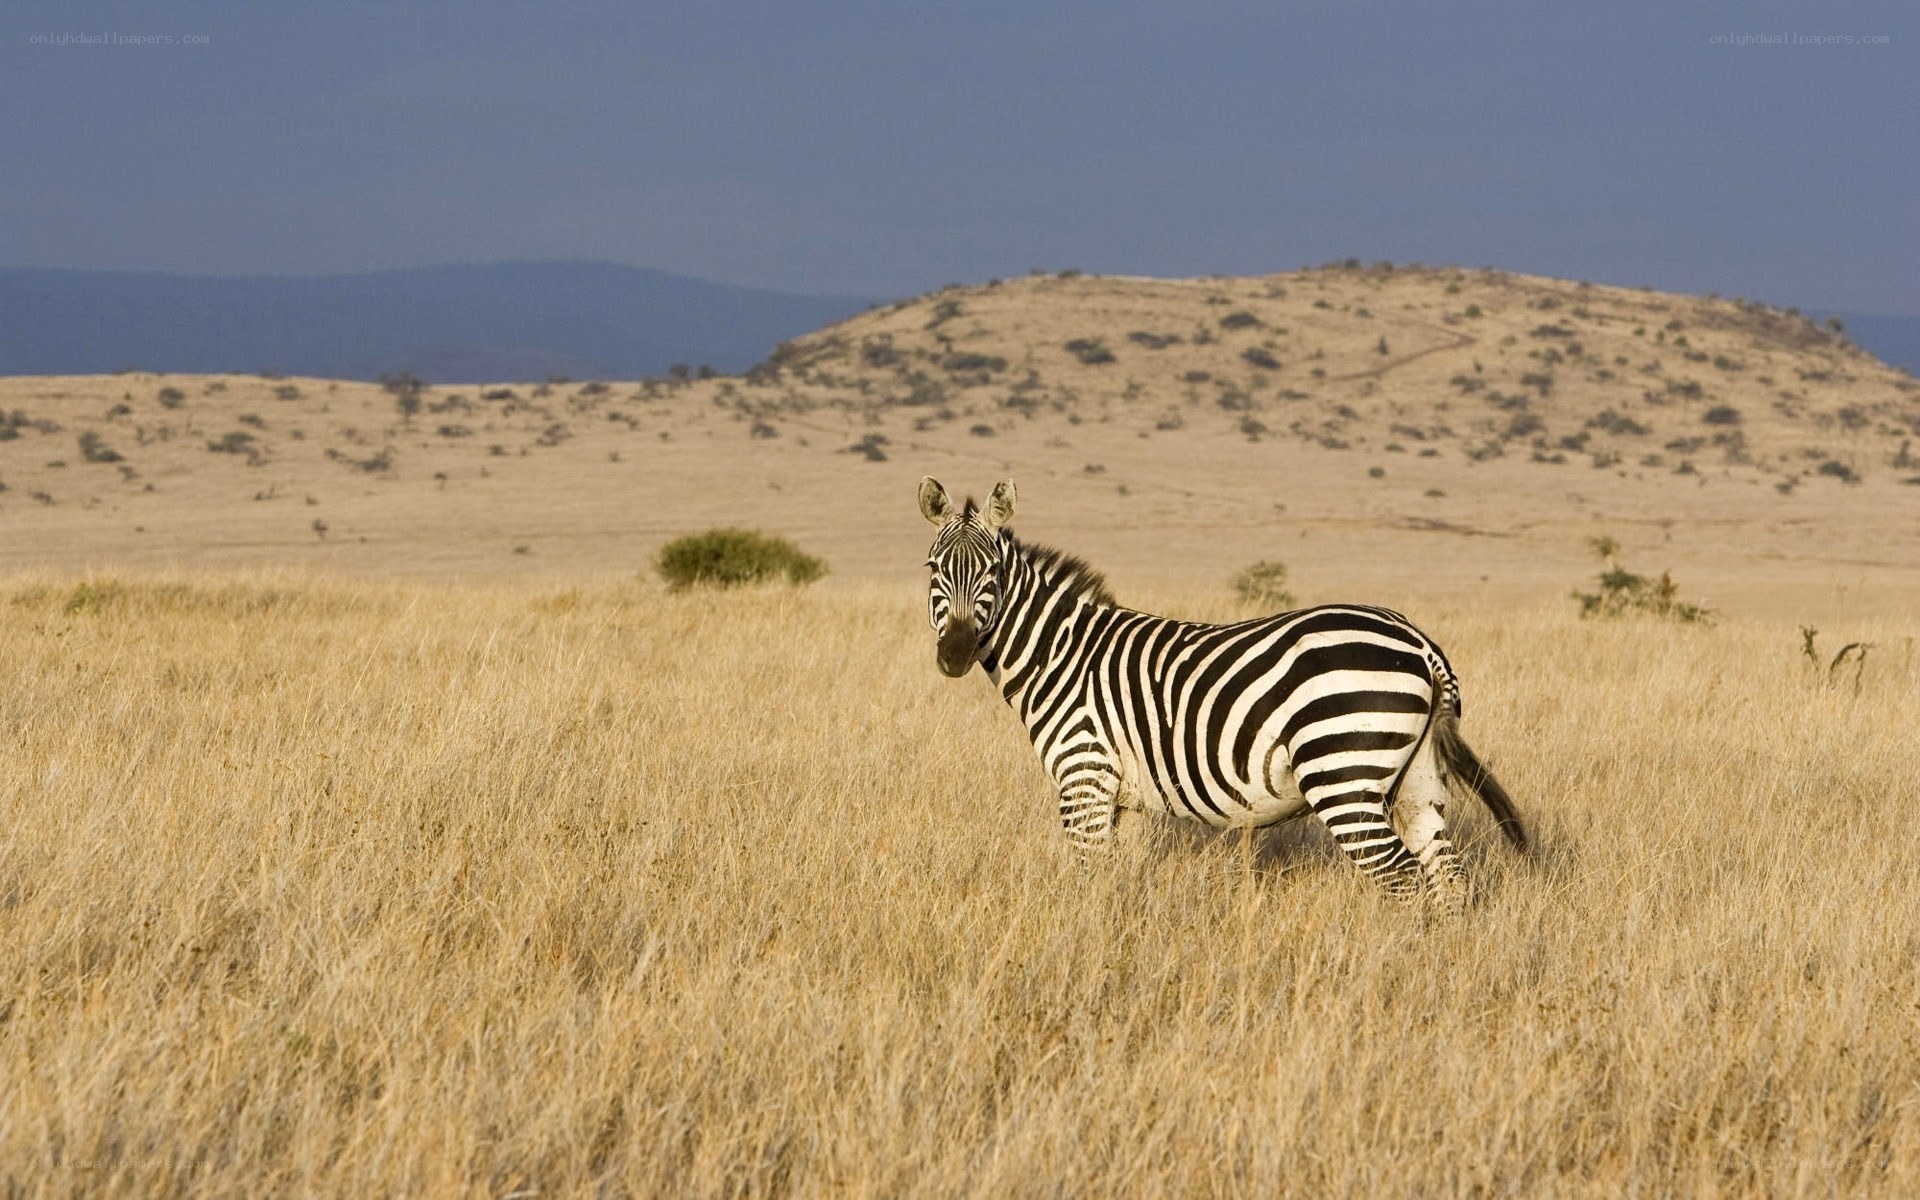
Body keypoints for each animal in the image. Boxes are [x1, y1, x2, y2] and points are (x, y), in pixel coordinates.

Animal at [917, 476, 1528, 908]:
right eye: (933, 568)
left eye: (992, 572)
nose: (955, 654)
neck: (1063, 655)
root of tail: (1419, 642)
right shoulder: (1126, 799)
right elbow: (1118, 882)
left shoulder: (1083, 778)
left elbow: (1088, 880)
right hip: (1417, 779)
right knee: (1446, 876)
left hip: (1343, 772)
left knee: (1400, 877)